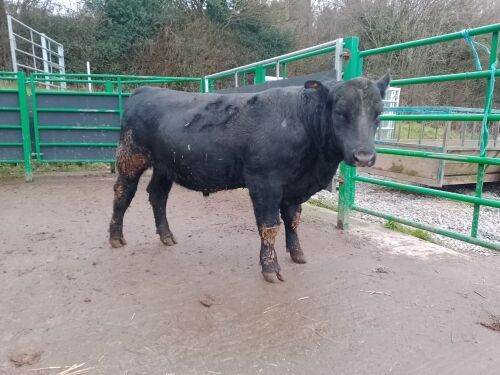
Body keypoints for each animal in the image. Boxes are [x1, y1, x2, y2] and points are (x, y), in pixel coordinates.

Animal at [109, 75, 390, 284]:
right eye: (340, 113)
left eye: (378, 114)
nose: (364, 156)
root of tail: (144, 90)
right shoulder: (265, 184)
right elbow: (270, 226)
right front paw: (270, 268)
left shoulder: (294, 187)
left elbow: (293, 221)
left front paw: (298, 254)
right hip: (131, 158)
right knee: (123, 194)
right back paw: (115, 237)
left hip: (165, 167)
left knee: (157, 195)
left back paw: (166, 236)